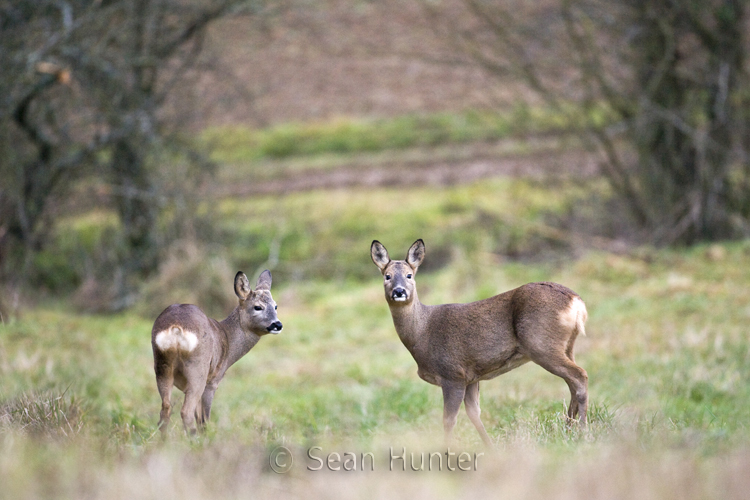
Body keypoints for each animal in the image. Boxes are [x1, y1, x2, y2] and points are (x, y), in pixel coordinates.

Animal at [151, 268, 284, 436]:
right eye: (257, 307)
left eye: (275, 306)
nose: (277, 325)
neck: (227, 337)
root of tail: (175, 328)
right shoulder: (213, 382)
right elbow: (204, 420)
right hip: (198, 369)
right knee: (186, 412)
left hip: (162, 366)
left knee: (165, 411)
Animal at [374, 239, 592, 446]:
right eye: (387, 276)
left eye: (410, 275)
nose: (399, 291)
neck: (422, 333)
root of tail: (576, 302)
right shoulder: (471, 376)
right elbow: (474, 414)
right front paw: (490, 447)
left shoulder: (452, 373)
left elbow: (449, 420)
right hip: (566, 345)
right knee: (572, 382)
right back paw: (568, 428)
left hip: (541, 344)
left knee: (580, 375)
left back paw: (582, 431)